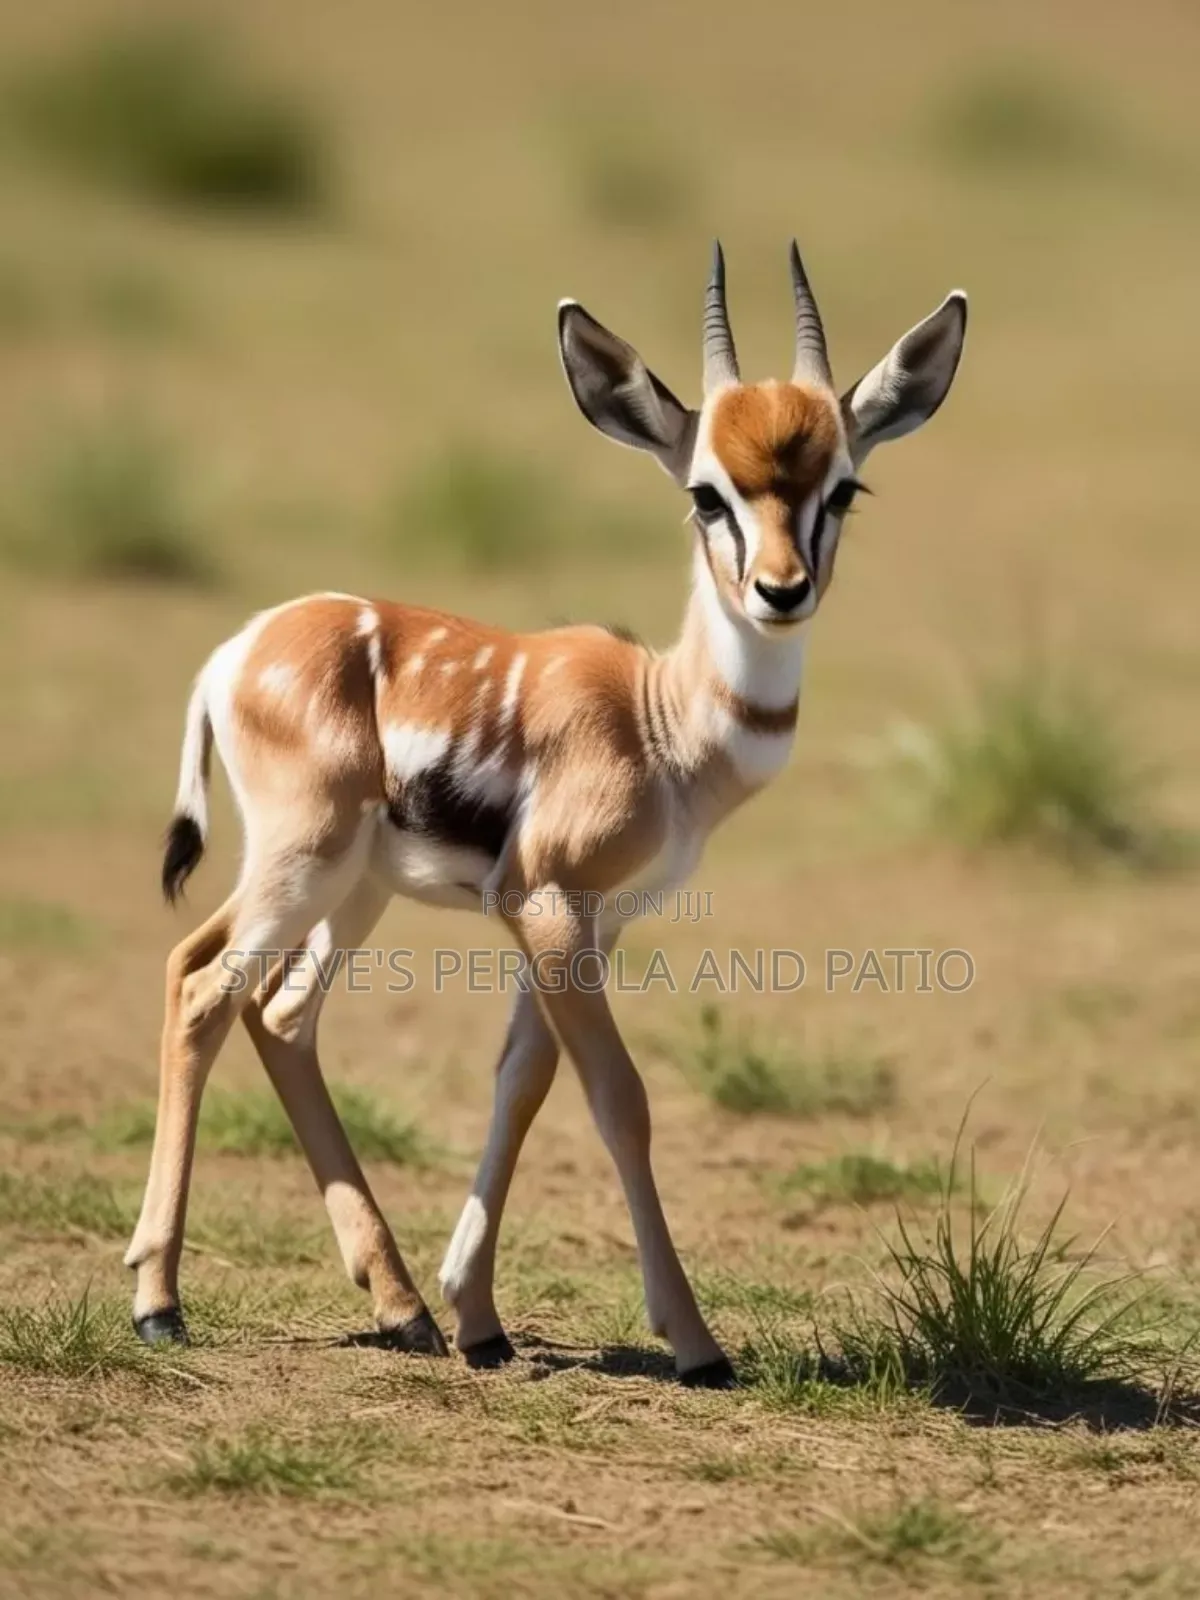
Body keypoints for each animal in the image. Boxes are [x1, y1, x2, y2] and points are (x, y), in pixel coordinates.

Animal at [125, 242, 966, 1385]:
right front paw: (696, 1342)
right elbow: (619, 1096)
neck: (663, 720)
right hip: (302, 864)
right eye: (708, 493)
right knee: (202, 986)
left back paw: (401, 1309)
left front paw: (477, 1317)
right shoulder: (552, 904)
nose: (780, 590)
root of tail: (238, 648)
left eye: (843, 486)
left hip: (352, 891)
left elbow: (522, 1081)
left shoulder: (584, 922)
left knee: (280, 1015)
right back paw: (158, 1303)